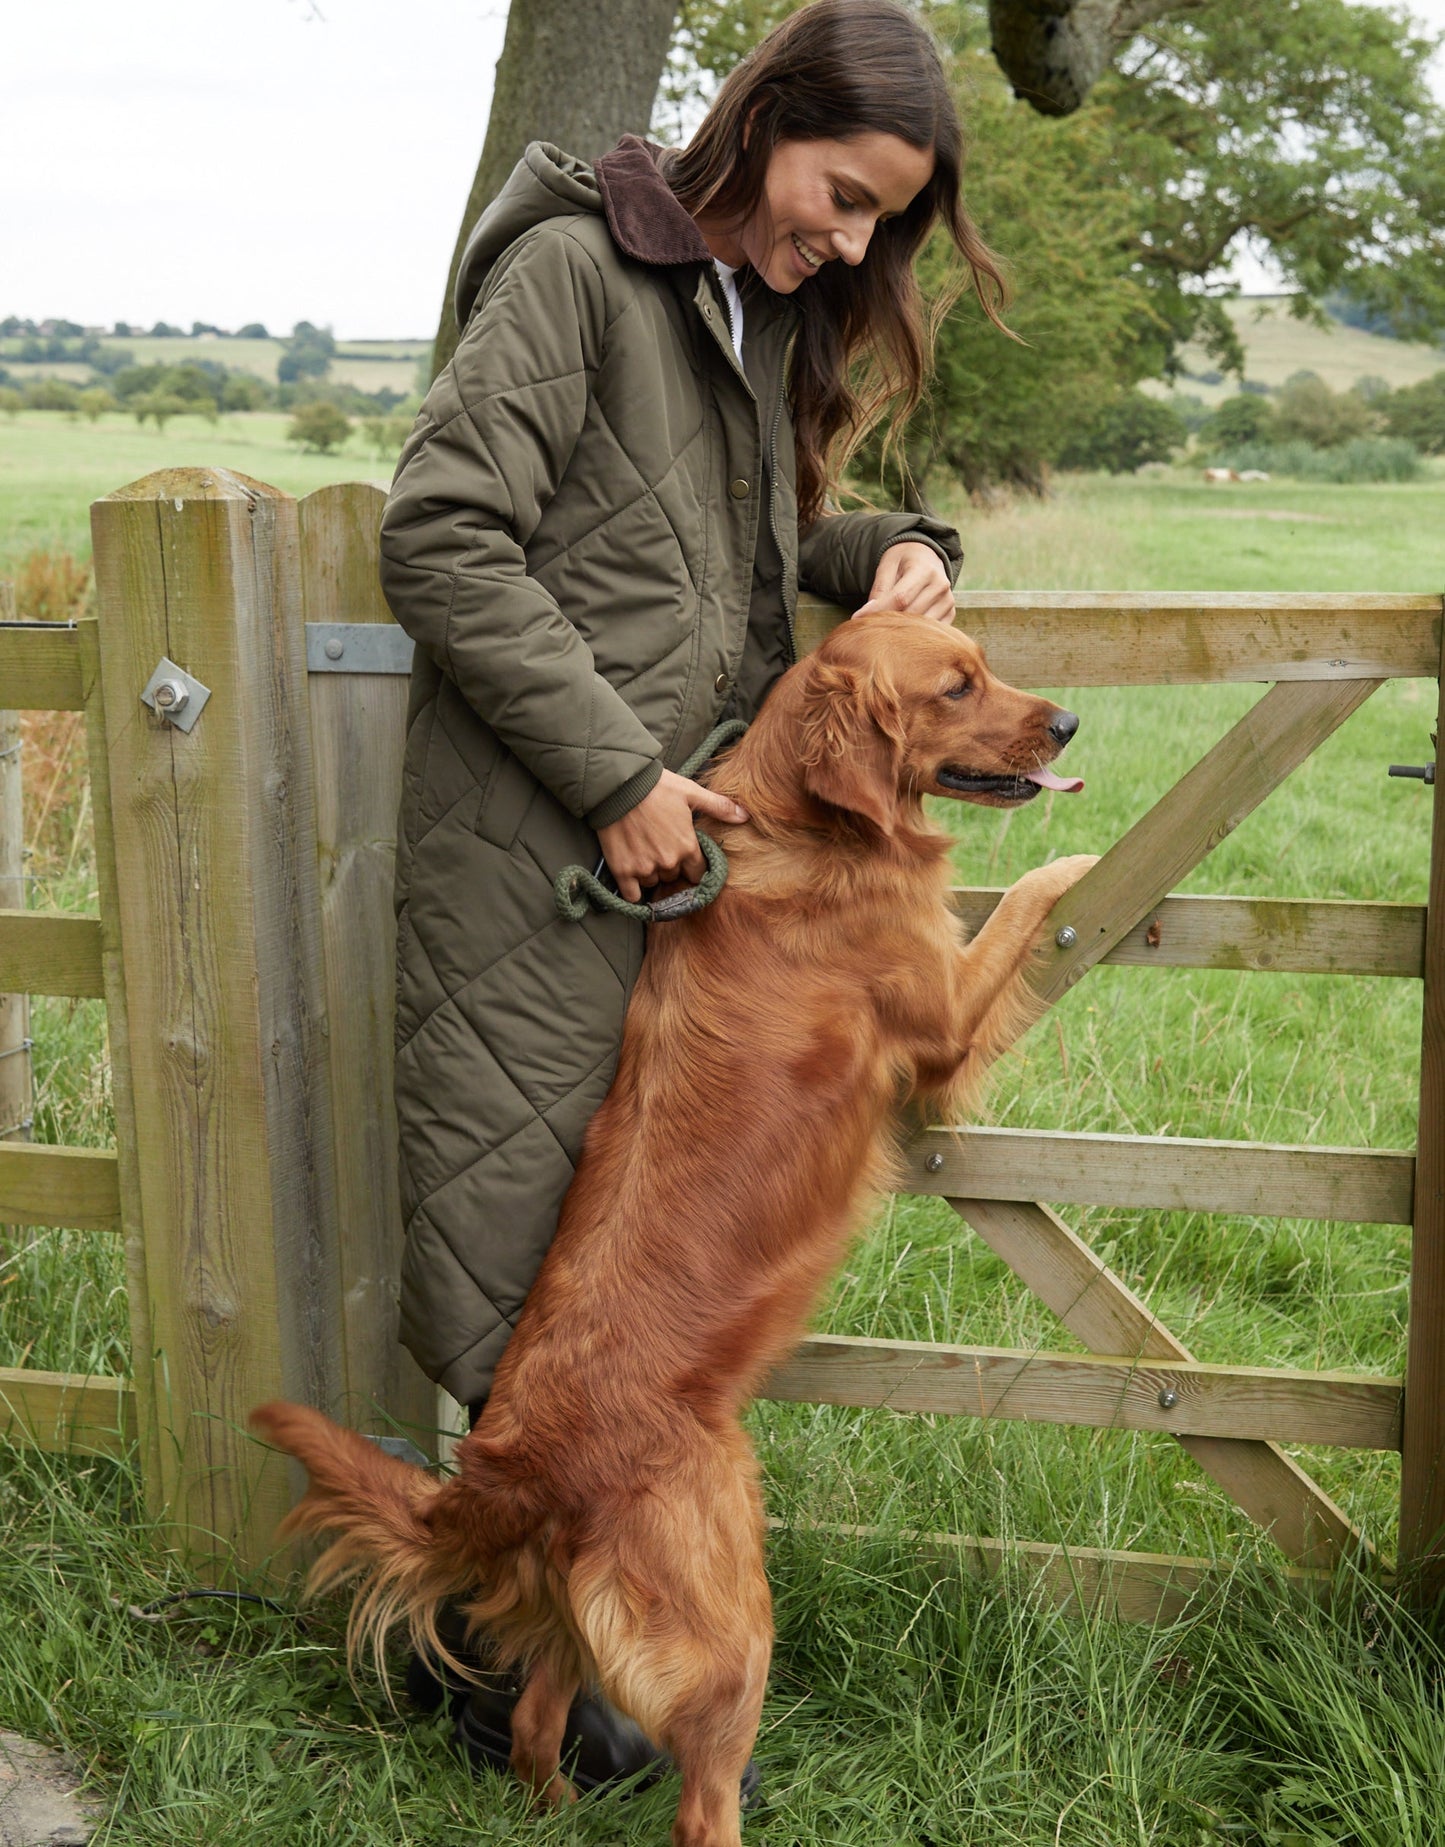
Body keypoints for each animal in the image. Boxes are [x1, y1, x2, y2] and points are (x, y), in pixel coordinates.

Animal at [251, 613, 1086, 1839]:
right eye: (955, 686)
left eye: (977, 661)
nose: (1066, 723)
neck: (799, 824)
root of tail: (512, 1460)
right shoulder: (939, 1013)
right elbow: (1022, 896)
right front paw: (1077, 867)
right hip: (729, 1611)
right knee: (700, 1794)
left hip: (579, 1611)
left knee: (536, 1722)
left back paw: (554, 1800)